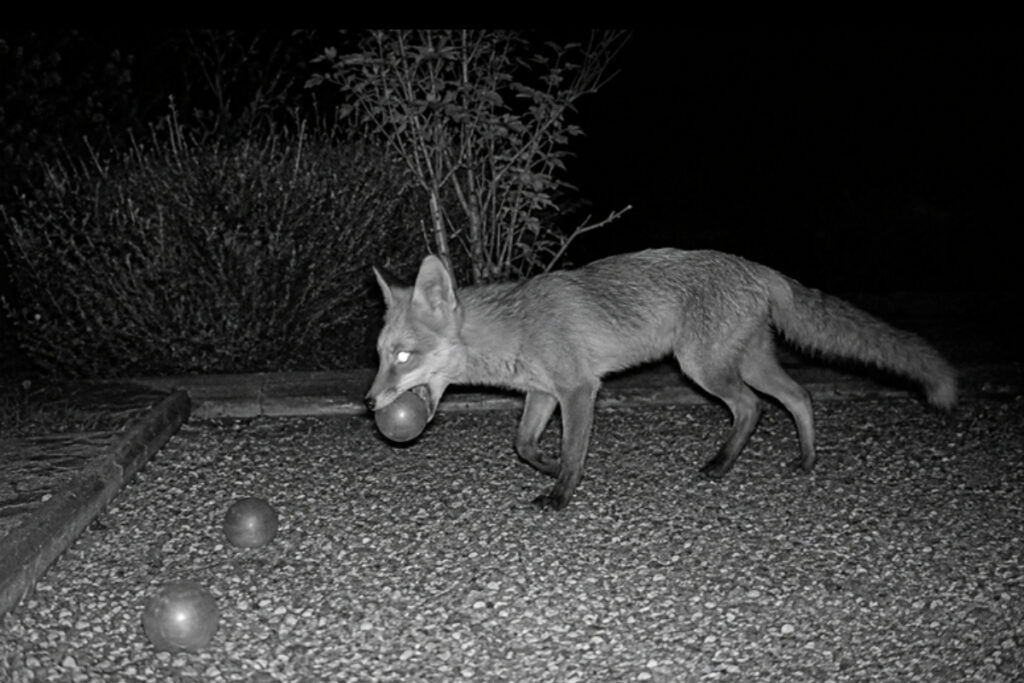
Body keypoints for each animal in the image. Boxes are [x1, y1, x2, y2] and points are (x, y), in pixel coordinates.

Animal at [365, 248, 957, 510]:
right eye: (380, 356)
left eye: (403, 357)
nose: (370, 403)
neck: (515, 326)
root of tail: (756, 267)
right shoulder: (543, 392)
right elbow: (524, 445)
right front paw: (549, 467)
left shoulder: (580, 390)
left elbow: (573, 452)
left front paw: (560, 493)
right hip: (747, 363)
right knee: (798, 396)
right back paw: (802, 459)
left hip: (704, 367)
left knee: (753, 407)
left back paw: (724, 464)